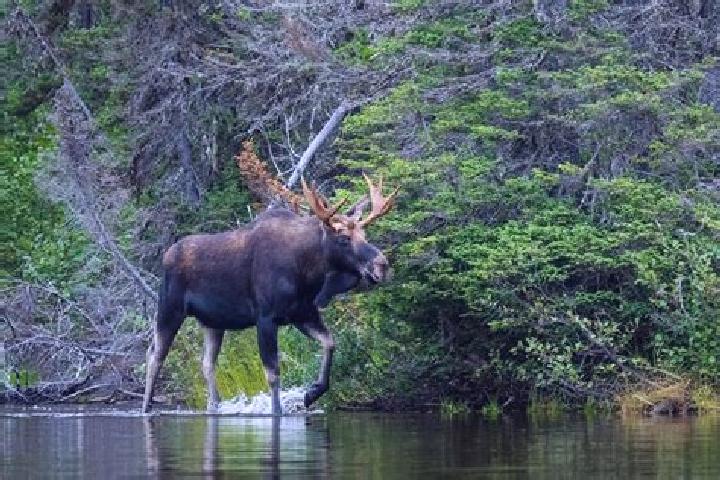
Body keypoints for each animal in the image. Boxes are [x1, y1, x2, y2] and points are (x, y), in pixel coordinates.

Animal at [142, 174, 398, 415]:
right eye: (344, 238)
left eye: (365, 234)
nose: (382, 265)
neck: (308, 273)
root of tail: (167, 254)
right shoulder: (265, 318)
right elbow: (273, 373)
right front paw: (278, 410)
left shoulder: (303, 314)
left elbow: (330, 342)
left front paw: (312, 393)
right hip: (169, 308)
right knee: (155, 356)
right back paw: (146, 407)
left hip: (213, 322)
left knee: (206, 363)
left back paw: (214, 406)